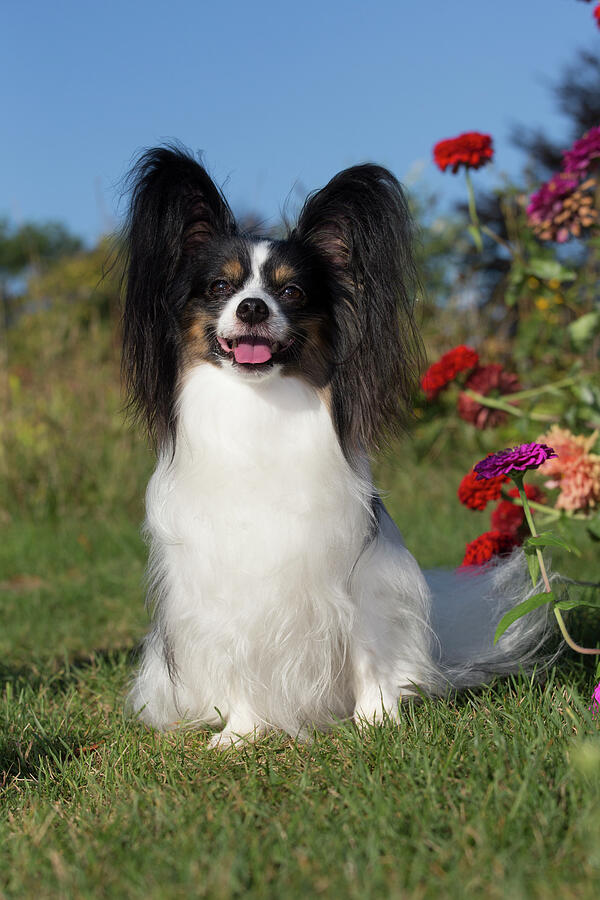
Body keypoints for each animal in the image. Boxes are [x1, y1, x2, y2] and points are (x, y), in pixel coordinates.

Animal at [123, 142, 552, 744]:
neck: (260, 406)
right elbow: (239, 656)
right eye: (220, 288)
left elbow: (368, 649)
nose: (253, 307)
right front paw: (240, 734)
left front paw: (378, 720)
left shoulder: (363, 574)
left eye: (291, 291)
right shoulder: (224, 592)